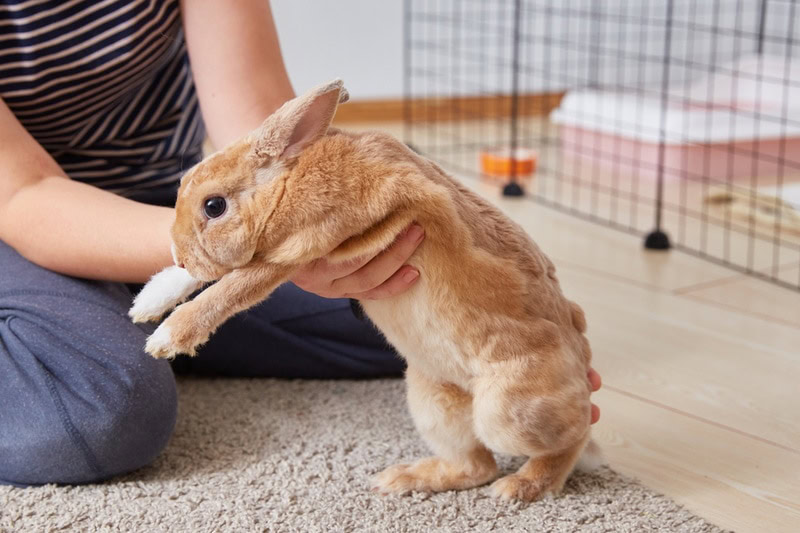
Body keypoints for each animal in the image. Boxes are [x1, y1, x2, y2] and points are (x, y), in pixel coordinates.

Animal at [128, 78, 600, 498]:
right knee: (475, 465)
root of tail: (580, 358)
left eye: (214, 206)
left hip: (508, 412)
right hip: (431, 399)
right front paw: (148, 302)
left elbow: (229, 288)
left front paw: (165, 338)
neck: (285, 187)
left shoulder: (295, 253)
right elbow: (207, 277)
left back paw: (522, 486)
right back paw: (402, 480)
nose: (181, 254)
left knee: (572, 436)